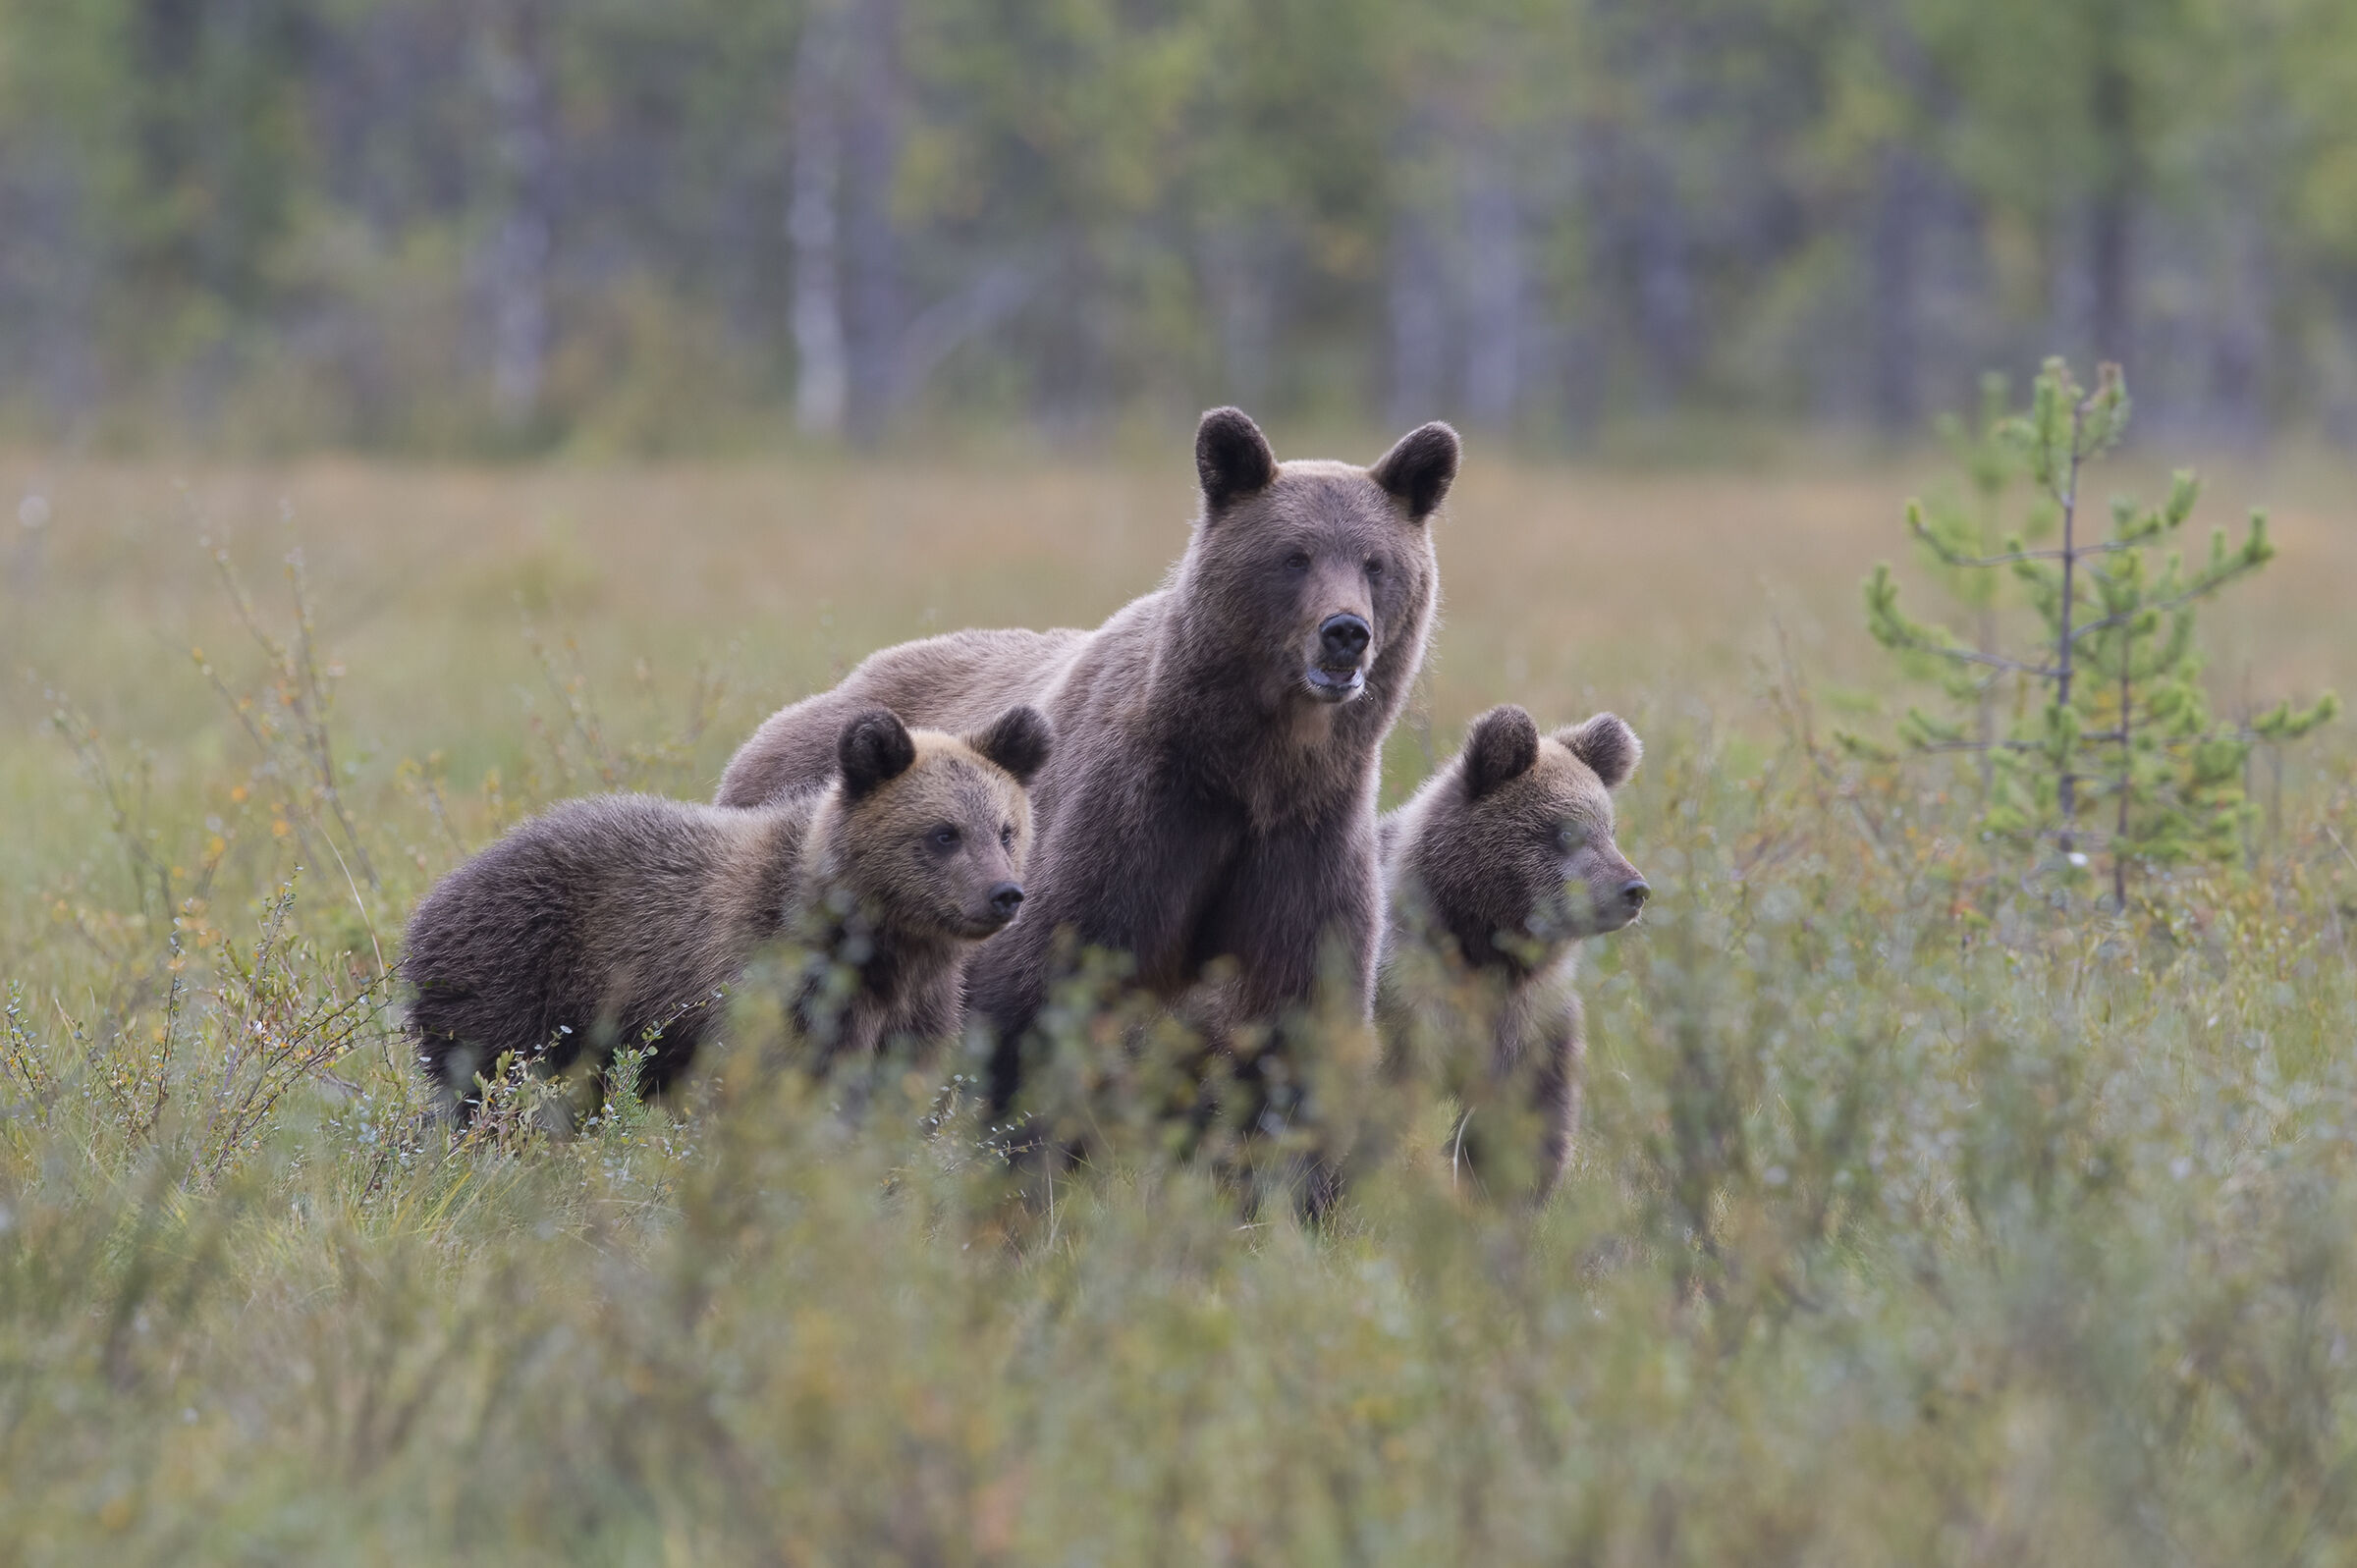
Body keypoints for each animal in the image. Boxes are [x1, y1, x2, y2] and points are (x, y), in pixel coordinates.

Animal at [402, 704, 1051, 1120]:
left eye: (1006, 829)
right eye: (944, 833)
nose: (1004, 894)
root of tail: (433, 896)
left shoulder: (918, 1009)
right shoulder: (776, 981)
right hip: (517, 979)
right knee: (485, 1087)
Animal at [714, 407, 1460, 1157]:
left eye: (1376, 562)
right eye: (1294, 555)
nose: (1346, 632)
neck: (1249, 770)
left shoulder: (1304, 841)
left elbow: (1299, 1026)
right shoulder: (1127, 827)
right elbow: (1029, 1007)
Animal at [1376, 705, 1647, 1202]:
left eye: (1610, 830)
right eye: (1566, 831)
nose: (1633, 889)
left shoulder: (1531, 1020)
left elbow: (1525, 1117)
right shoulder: (1405, 998)